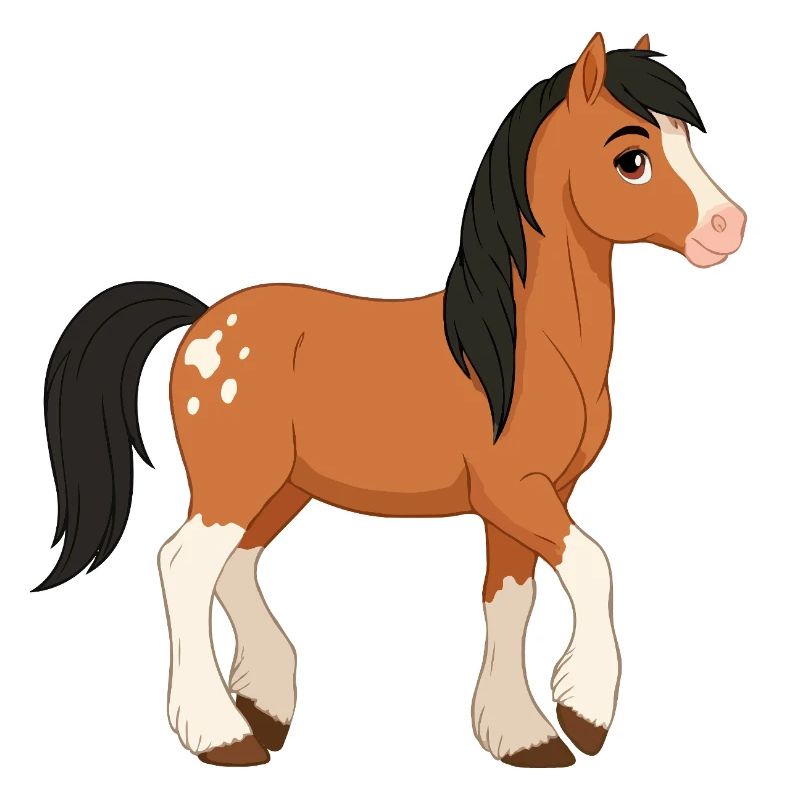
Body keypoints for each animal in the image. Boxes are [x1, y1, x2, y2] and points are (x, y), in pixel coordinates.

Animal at [36, 33, 746, 768]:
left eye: (686, 140)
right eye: (632, 158)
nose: (729, 226)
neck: (520, 348)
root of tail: (202, 319)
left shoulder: (535, 498)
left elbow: (509, 599)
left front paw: (519, 735)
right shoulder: (514, 491)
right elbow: (593, 565)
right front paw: (586, 714)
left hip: (282, 488)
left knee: (236, 567)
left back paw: (264, 710)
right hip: (234, 483)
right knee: (184, 565)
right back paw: (220, 735)